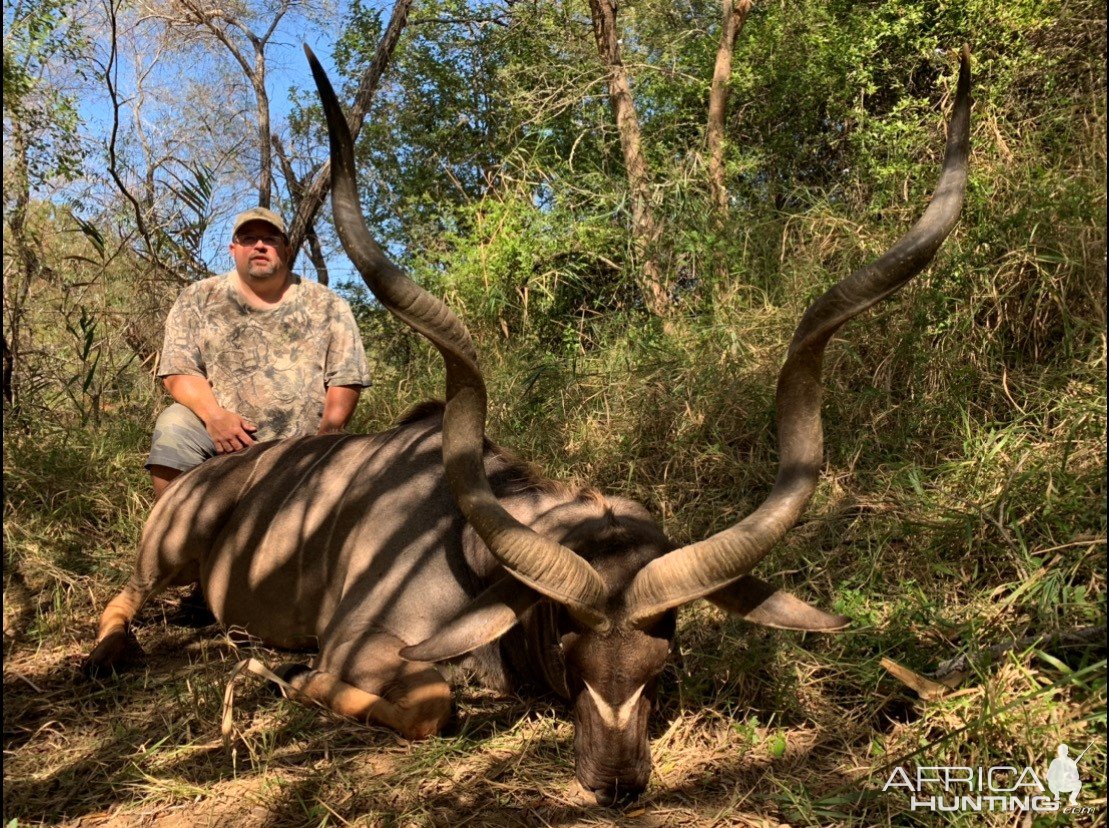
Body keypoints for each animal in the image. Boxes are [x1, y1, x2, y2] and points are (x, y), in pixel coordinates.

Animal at [86, 43, 971, 802]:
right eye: (570, 650)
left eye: (660, 659)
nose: (615, 783)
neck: (467, 550)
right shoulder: (362, 641)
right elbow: (430, 703)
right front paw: (292, 678)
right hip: (162, 551)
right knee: (123, 598)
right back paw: (113, 657)